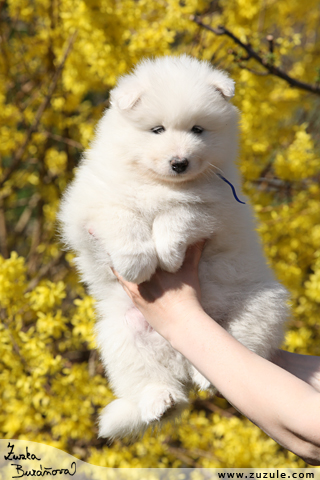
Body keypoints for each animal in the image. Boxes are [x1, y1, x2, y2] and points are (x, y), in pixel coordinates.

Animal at [58, 55, 290, 438]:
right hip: (121, 335)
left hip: (260, 307)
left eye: (198, 129)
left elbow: (180, 213)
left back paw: (205, 377)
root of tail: (180, 358)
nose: (179, 162)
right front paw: (137, 262)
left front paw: (167, 254)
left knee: (237, 345)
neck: (159, 182)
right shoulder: (90, 208)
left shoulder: (215, 207)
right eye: (157, 130)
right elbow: (123, 218)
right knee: (148, 380)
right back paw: (160, 401)